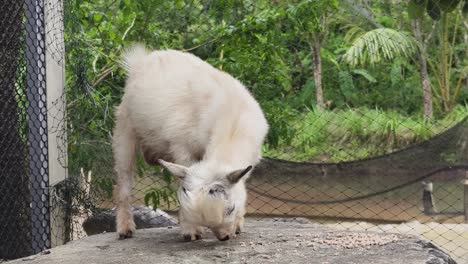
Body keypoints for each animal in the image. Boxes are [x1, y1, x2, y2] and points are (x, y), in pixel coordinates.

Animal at [113, 43, 268, 241]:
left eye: (231, 208)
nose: (224, 236)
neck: (232, 121)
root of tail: (140, 61)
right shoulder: (182, 147)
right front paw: (191, 230)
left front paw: (239, 224)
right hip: (125, 129)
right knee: (124, 178)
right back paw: (125, 229)